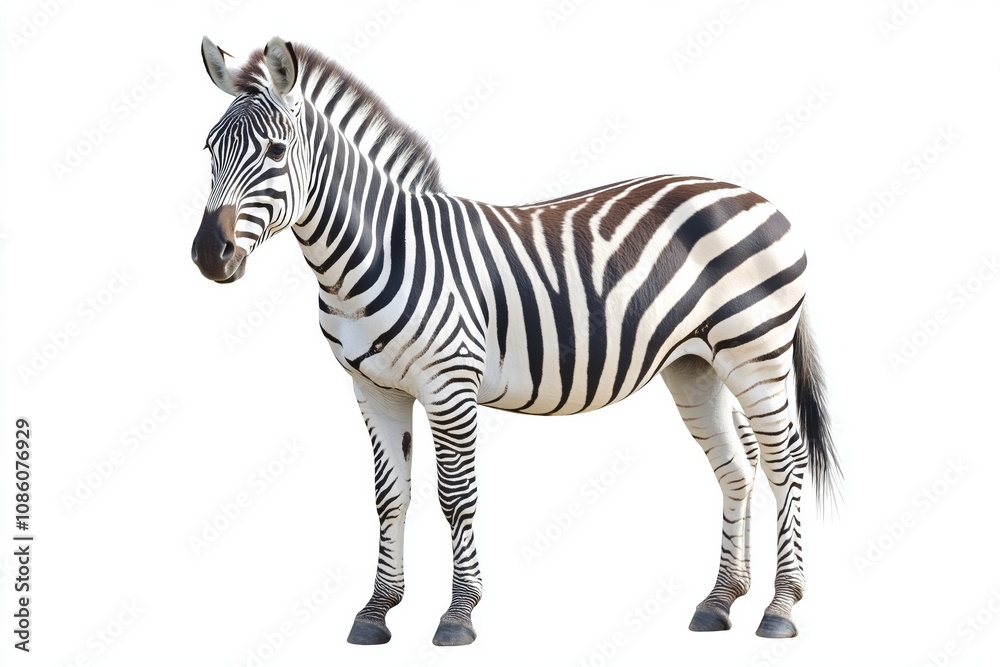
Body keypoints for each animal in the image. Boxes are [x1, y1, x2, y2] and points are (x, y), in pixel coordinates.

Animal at [191, 36, 841, 646]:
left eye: (275, 152)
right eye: (208, 150)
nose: (207, 256)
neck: (372, 252)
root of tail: (758, 197)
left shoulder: (449, 383)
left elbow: (456, 496)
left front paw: (458, 614)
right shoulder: (374, 389)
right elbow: (389, 497)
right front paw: (376, 613)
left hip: (755, 351)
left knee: (785, 463)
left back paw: (781, 608)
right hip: (696, 364)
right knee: (737, 466)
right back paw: (720, 601)